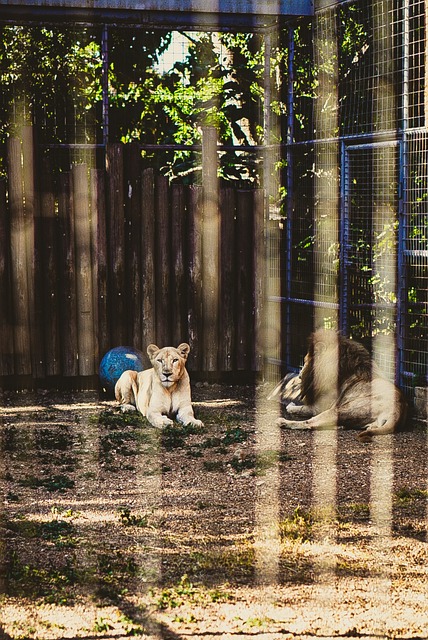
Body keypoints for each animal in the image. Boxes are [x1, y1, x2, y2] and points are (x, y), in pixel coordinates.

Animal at [271, 329, 407, 439]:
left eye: (305, 361)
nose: (300, 372)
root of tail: (398, 411)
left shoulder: (321, 406)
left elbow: (303, 408)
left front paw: (291, 406)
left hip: (340, 410)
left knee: (310, 423)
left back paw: (283, 422)